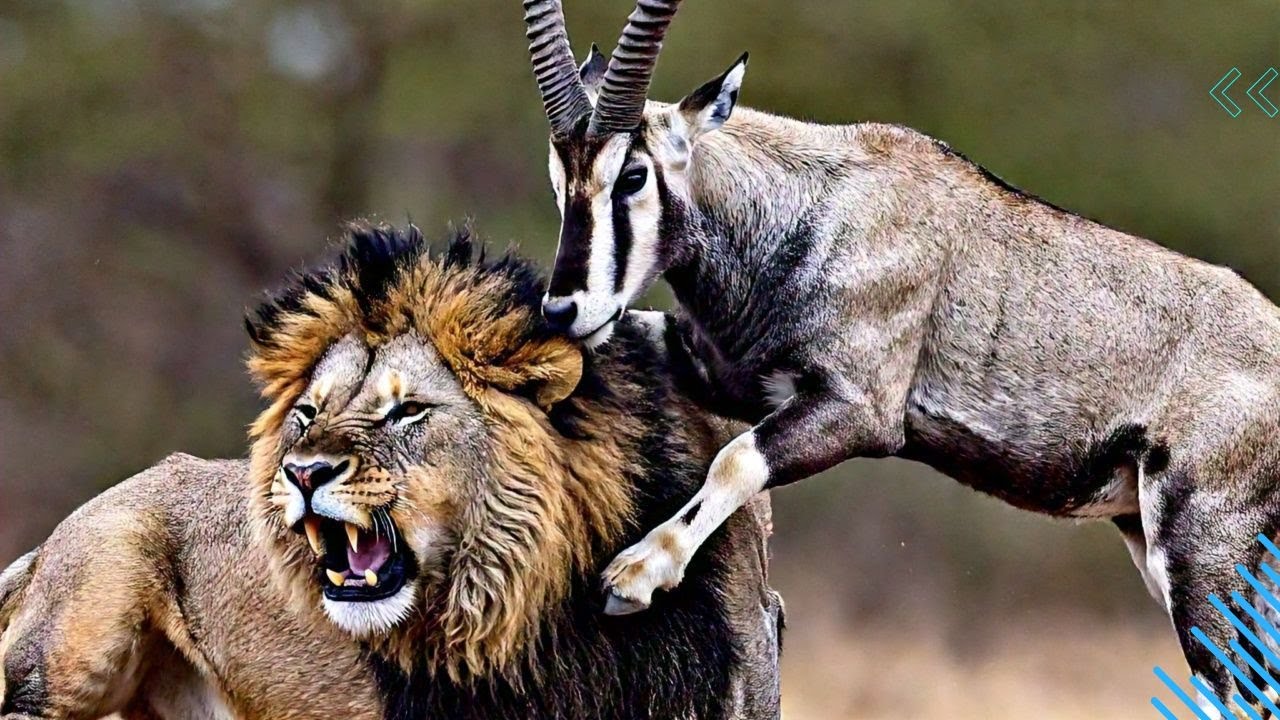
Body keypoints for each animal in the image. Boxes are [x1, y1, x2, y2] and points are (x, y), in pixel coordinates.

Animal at [521, 0, 1280, 710]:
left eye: (633, 176)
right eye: (559, 179)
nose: (565, 310)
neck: (811, 205)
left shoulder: (858, 413)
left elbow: (737, 458)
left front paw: (636, 574)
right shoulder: (728, 373)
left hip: (1208, 557)